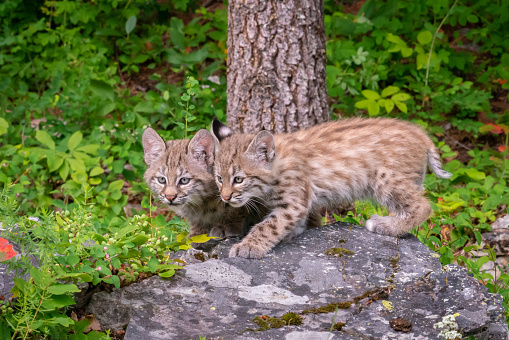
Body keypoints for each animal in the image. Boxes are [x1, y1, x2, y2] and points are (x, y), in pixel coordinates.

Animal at [212, 117, 450, 258]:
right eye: (219, 178)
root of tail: (420, 133)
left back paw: (385, 225)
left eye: (239, 179)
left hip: (385, 178)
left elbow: (269, 225)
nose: (225, 197)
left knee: (423, 207)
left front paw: (248, 246)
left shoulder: (294, 203)